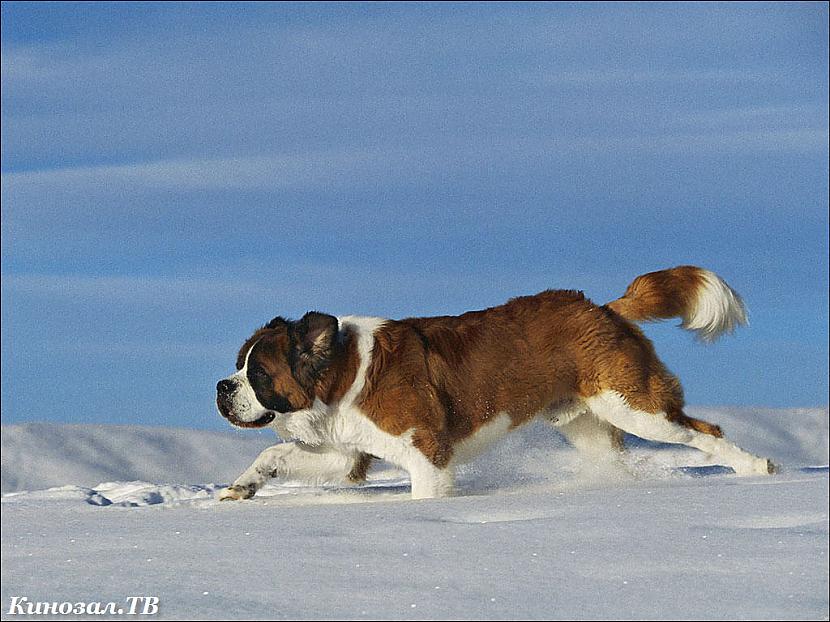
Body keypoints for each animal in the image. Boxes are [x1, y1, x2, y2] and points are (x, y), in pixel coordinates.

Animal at [214, 266, 772, 502]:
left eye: (257, 374)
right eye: (239, 366)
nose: (221, 386)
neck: (344, 373)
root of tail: (601, 307)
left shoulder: (427, 455)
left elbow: (425, 493)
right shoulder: (349, 453)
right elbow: (276, 454)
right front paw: (243, 486)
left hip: (635, 406)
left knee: (705, 432)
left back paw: (758, 468)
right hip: (588, 425)